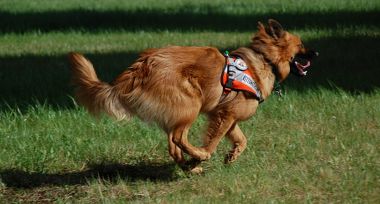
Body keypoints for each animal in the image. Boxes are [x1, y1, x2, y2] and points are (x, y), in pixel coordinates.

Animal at [69, 19, 318, 173]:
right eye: (301, 44)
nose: (316, 52)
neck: (265, 59)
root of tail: (141, 66)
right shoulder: (225, 115)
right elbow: (213, 141)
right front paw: (204, 154)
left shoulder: (226, 116)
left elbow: (242, 140)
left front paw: (232, 155)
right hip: (191, 104)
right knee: (178, 138)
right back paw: (197, 158)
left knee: (172, 143)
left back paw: (189, 167)